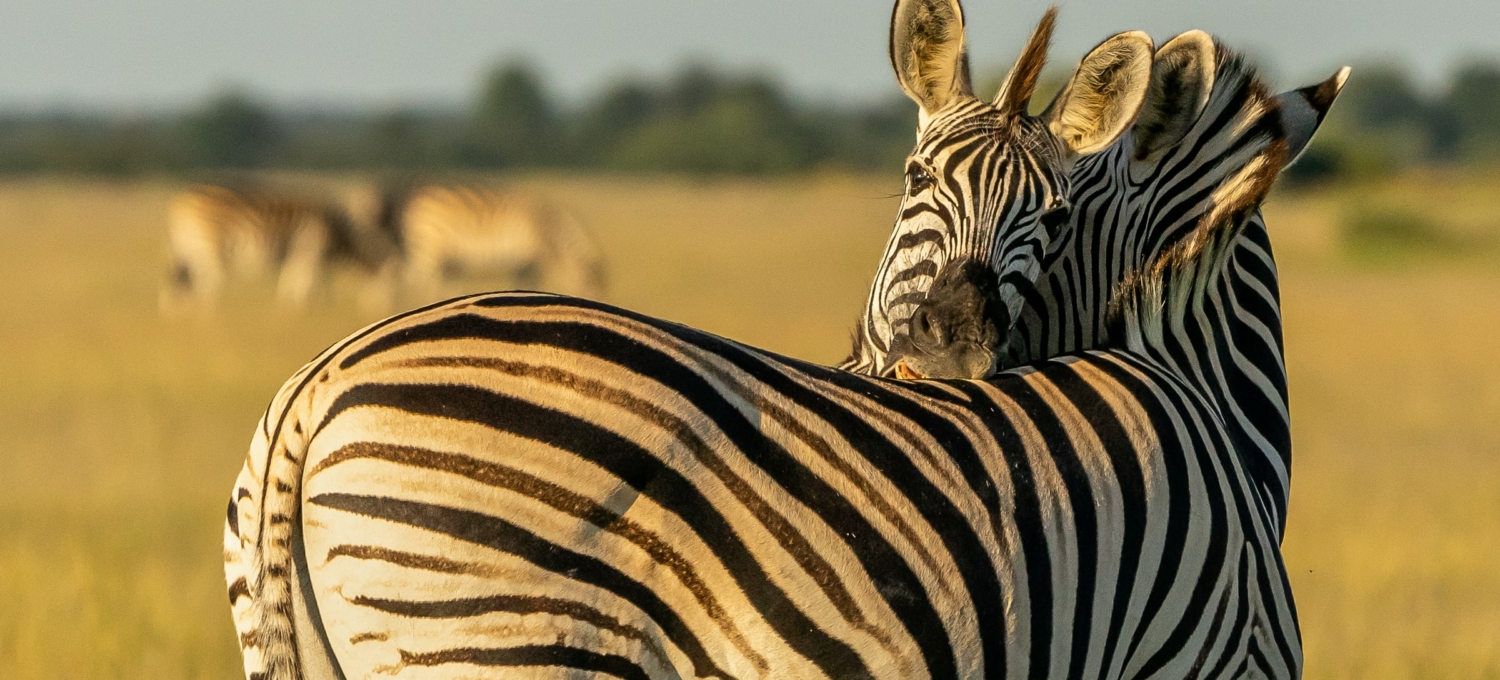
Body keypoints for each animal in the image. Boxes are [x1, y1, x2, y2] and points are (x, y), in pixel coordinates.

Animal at [160, 181, 396, 310]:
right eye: (389, 289)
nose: (383, 312)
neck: (337, 233)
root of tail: (180, 200)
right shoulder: (311, 250)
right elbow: (309, 285)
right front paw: (309, 310)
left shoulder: (300, 255)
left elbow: (293, 283)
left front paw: (290, 312)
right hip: (210, 244)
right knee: (208, 281)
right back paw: (211, 315)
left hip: (187, 246)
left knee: (182, 284)